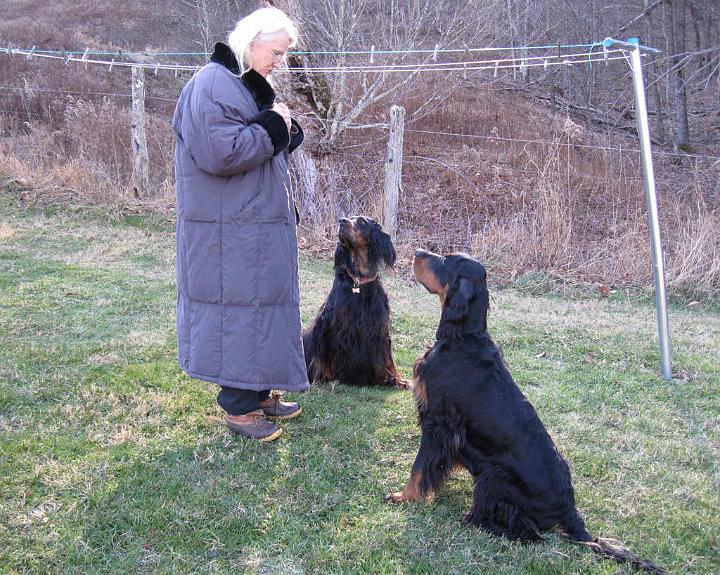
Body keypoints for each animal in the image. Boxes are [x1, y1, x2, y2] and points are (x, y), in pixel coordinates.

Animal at [300, 218, 408, 390]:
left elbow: (386, 358)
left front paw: (394, 379)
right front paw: (321, 378)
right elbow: (321, 356)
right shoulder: (327, 324)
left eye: (362, 222)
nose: (342, 221)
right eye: (349, 217)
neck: (358, 281)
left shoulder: (379, 327)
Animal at [388, 250, 664, 572]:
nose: (417, 253)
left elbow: (419, 468)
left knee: (525, 531)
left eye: (446, 261)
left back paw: (475, 521)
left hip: (495, 476)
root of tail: (570, 512)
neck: (462, 338)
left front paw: (404, 497)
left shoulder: (438, 422)